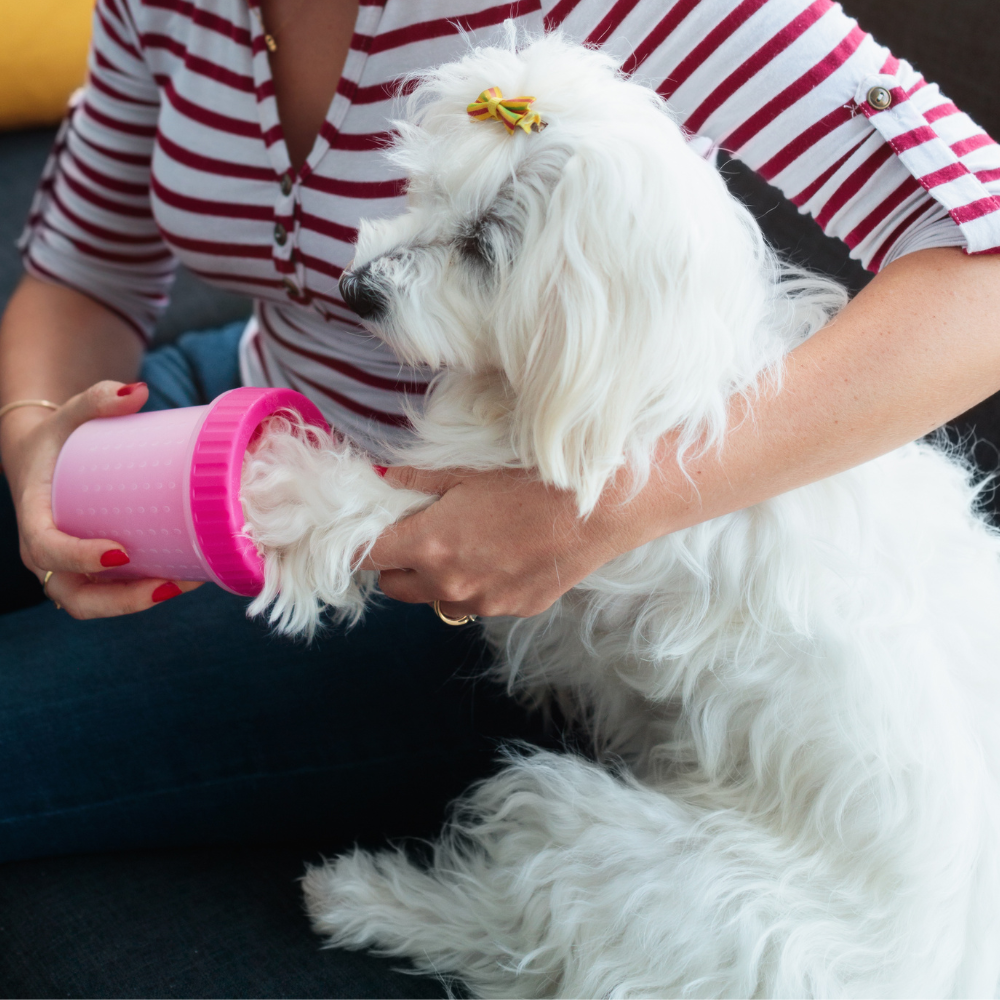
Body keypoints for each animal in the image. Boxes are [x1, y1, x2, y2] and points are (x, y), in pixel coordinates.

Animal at [244, 33, 1000, 1000]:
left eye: (486, 247)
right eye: (425, 191)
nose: (356, 286)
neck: (653, 385)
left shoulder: (530, 524)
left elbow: (383, 503)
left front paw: (277, 489)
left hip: (640, 865)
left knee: (514, 924)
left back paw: (361, 898)